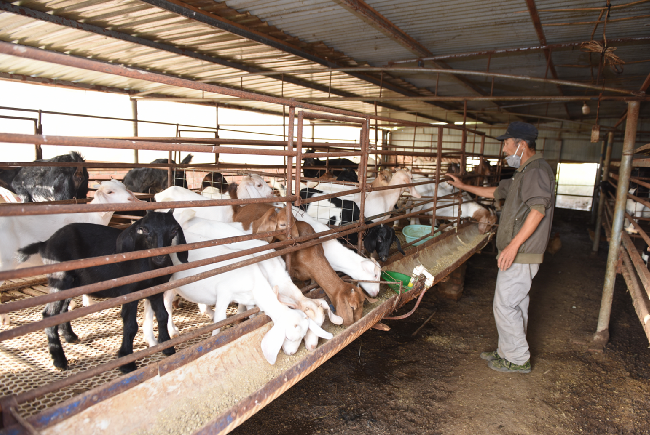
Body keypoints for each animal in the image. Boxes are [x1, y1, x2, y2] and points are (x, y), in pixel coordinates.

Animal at [16, 210, 188, 372]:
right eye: (144, 229)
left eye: (174, 230)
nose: (160, 258)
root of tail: (45, 244)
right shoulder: (129, 292)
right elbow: (130, 326)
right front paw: (126, 362)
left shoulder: (156, 290)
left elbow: (162, 316)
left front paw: (167, 348)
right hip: (59, 280)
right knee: (49, 315)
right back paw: (59, 361)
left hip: (72, 283)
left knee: (63, 311)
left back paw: (70, 337)